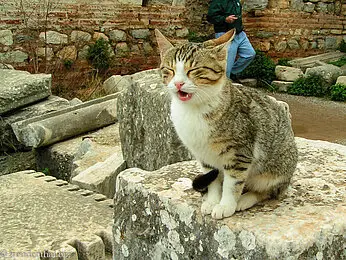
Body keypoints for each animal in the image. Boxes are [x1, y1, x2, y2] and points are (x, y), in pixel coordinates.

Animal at [155, 29, 298, 219]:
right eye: (169, 70)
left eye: (194, 70)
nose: (178, 83)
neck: (195, 109)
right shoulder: (204, 156)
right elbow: (213, 179)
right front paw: (212, 201)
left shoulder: (238, 152)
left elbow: (233, 182)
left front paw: (226, 205)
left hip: (275, 170)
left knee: (269, 191)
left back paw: (246, 199)